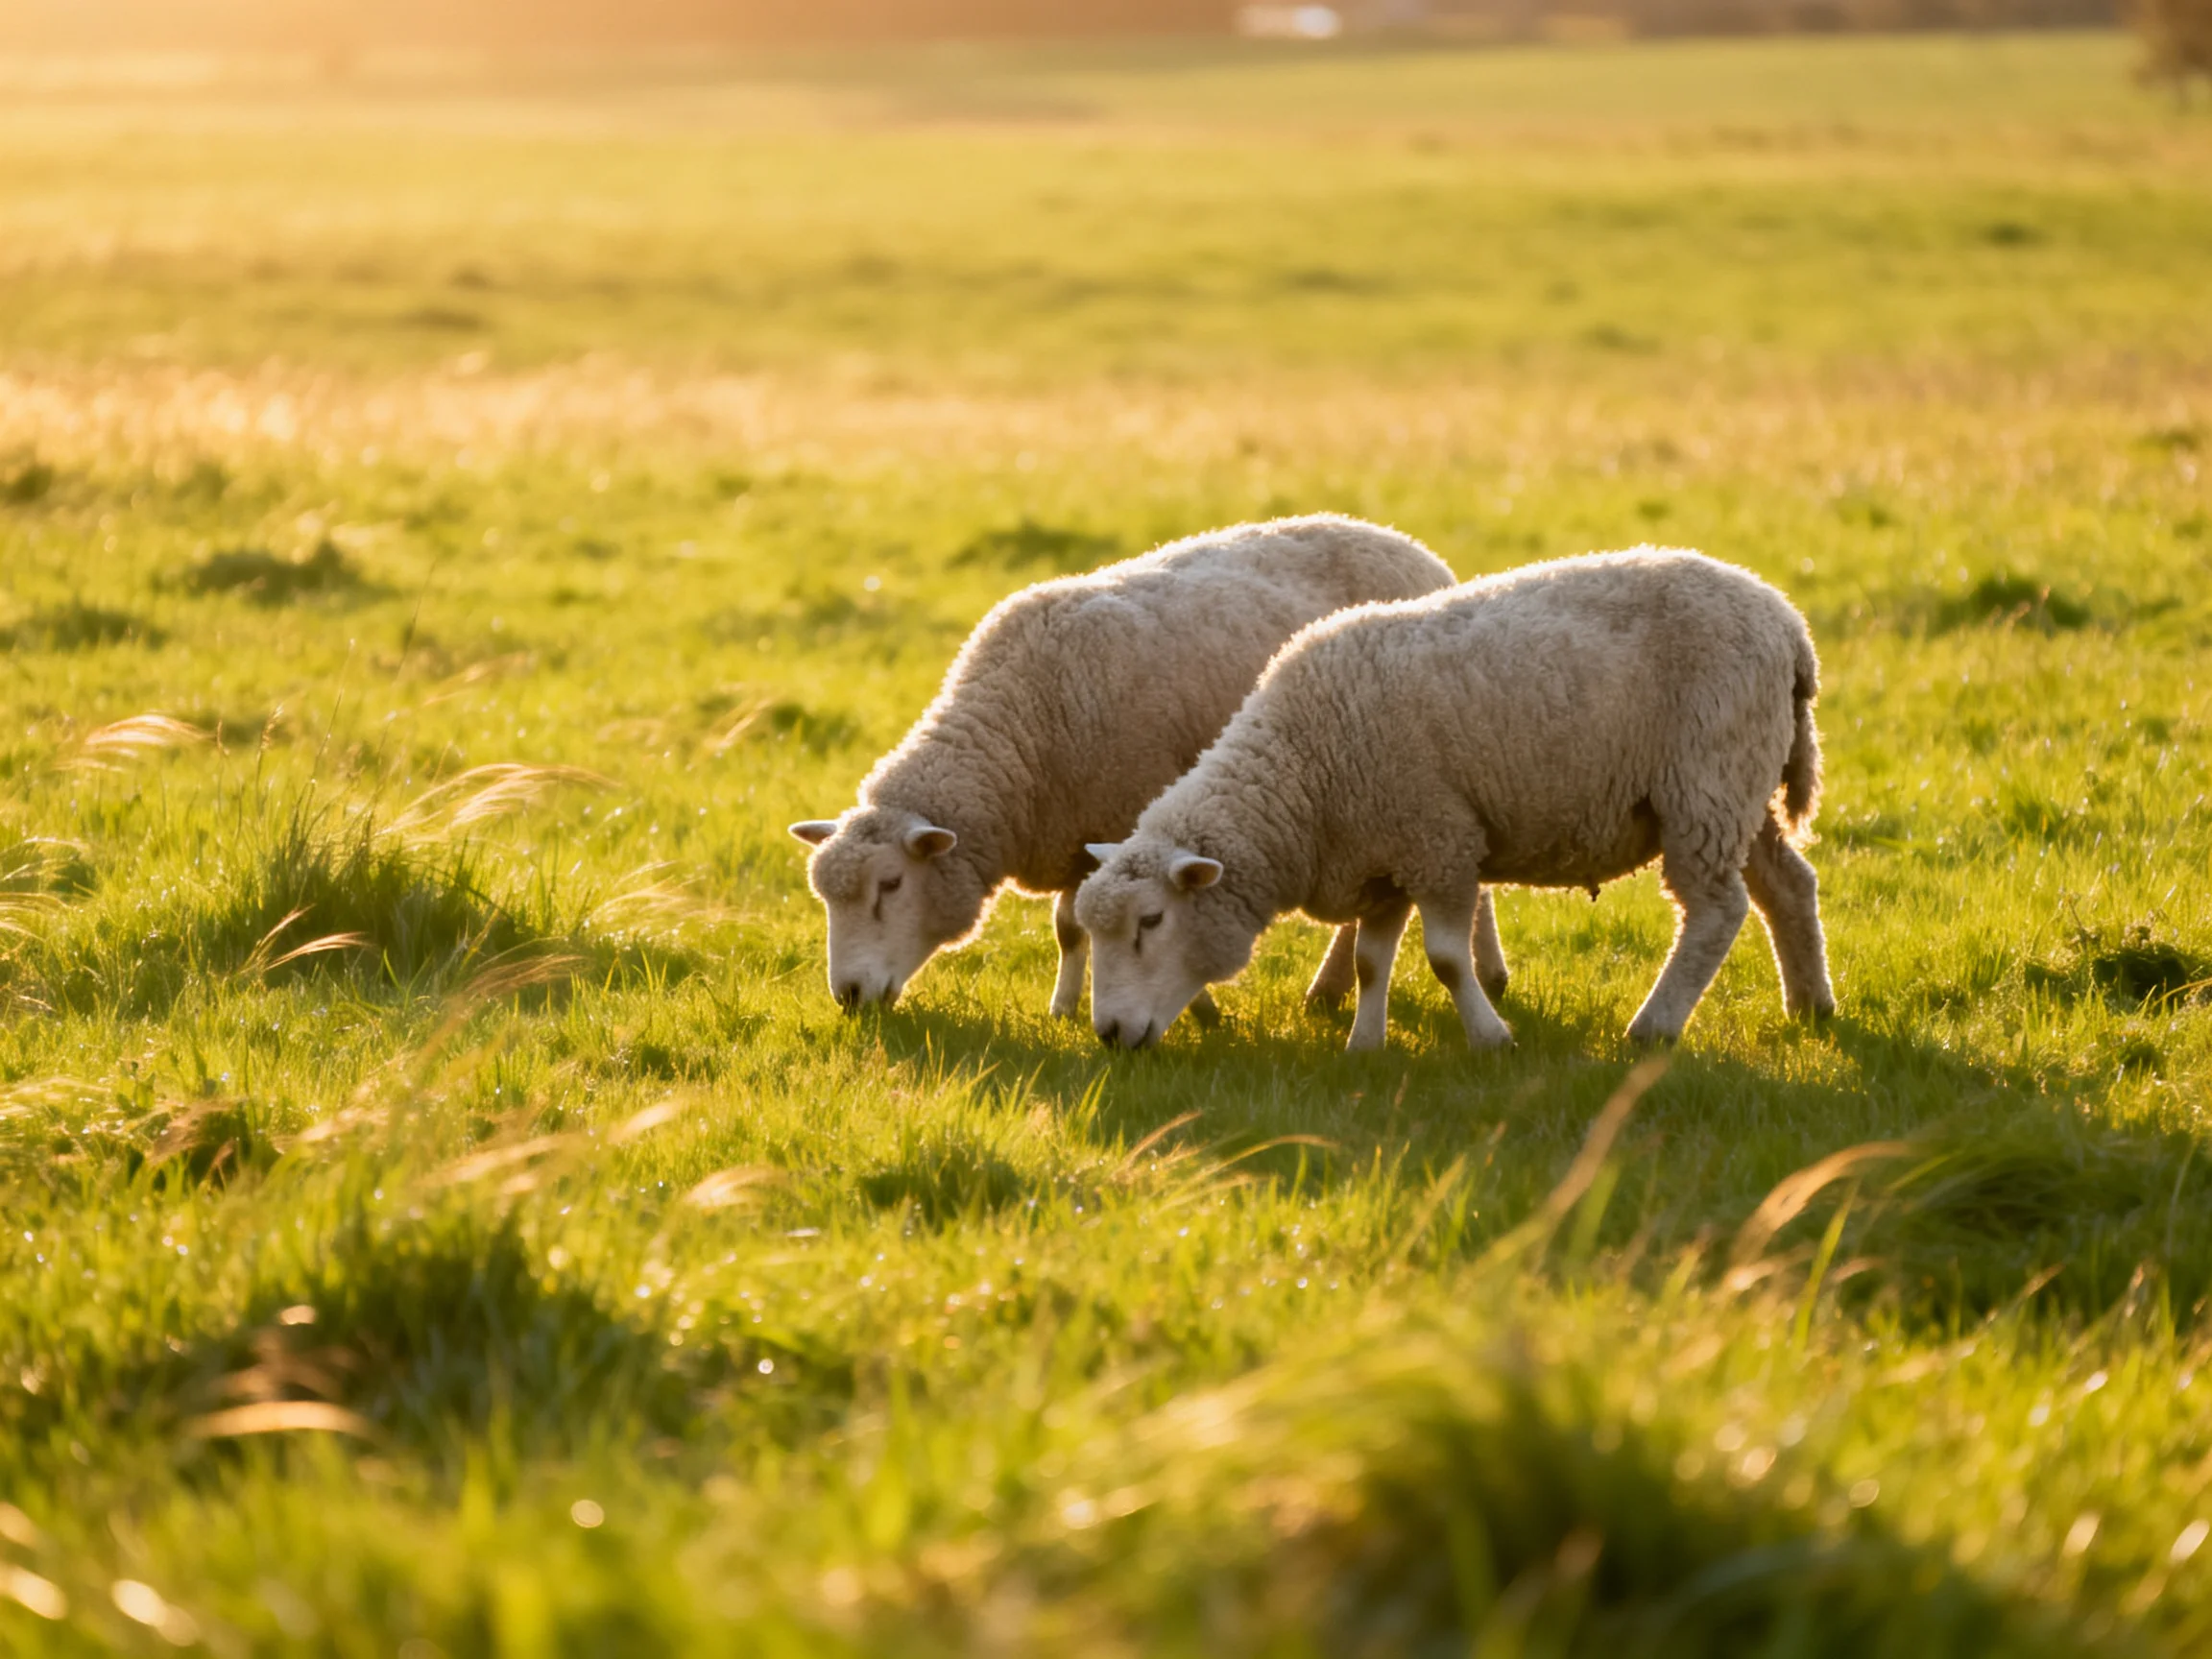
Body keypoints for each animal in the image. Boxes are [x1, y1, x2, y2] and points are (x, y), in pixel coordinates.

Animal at [789, 514, 1459, 1015]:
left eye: (891, 885)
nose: (849, 996)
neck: (1017, 729)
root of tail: (1406, 542)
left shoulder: (1119, 815)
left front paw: (1191, 1008)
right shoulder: (1072, 828)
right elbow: (1069, 928)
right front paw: (1064, 1008)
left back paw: (1330, 987)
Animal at [1075, 547, 1835, 1053]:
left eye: (1150, 921)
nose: (1108, 1032)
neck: (1302, 774)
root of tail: (1788, 623)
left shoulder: (1439, 842)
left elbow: (1444, 958)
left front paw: (1490, 1037)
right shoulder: (1383, 858)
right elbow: (1370, 959)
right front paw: (1365, 1045)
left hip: (1707, 780)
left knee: (1715, 912)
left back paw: (1654, 1026)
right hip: (1739, 786)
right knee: (1788, 886)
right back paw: (1811, 1005)